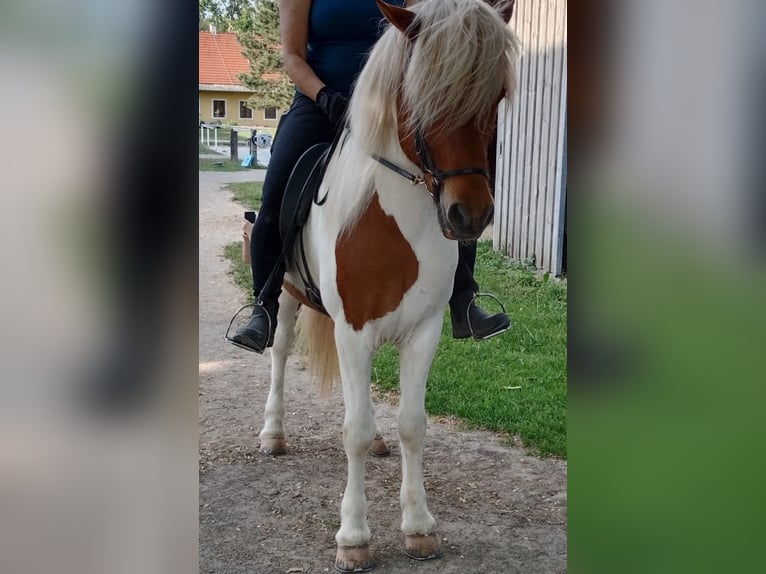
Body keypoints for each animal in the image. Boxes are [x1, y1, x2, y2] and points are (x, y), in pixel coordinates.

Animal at [260, 0, 520, 572]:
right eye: (424, 97)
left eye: (496, 96)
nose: (469, 215)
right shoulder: (353, 328)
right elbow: (352, 433)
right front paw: (354, 537)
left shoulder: (423, 330)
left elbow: (412, 424)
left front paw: (419, 526)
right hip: (287, 297)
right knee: (280, 353)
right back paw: (272, 432)